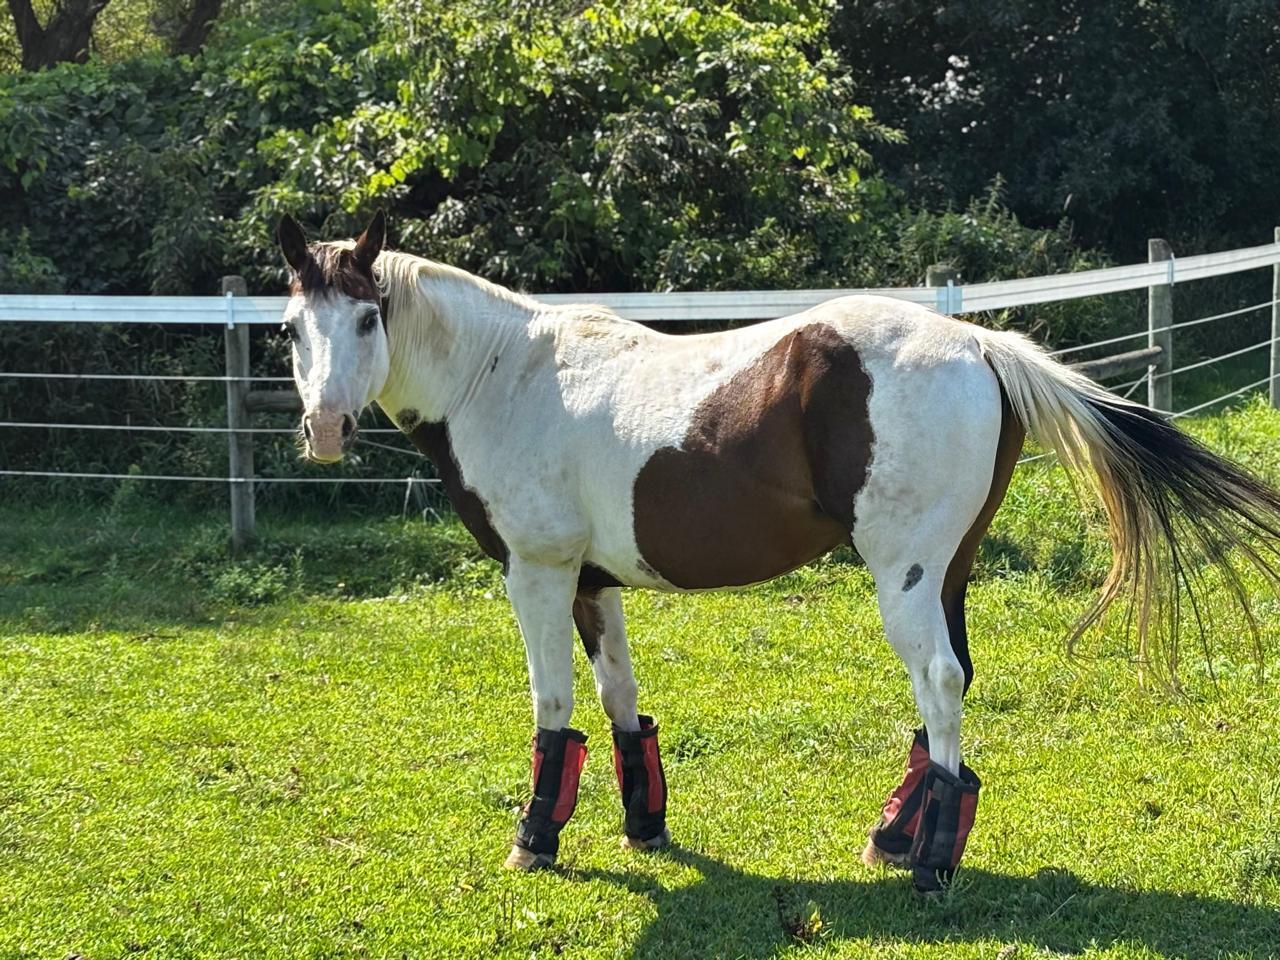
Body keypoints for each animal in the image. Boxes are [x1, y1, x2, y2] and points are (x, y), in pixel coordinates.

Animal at [275, 212, 1280, 892]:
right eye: (292, 328)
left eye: (367, 319)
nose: (323, 430)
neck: (506, 375)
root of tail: (981, 343)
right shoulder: (596, 582)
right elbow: (621, 702)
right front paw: (644, 825)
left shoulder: (540, 573)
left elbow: (553, 707)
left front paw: (536, 838)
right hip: (947, 571)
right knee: (948, 684)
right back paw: (897, 837)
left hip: (906, 574)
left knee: (940, 683)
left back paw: (931, 863)